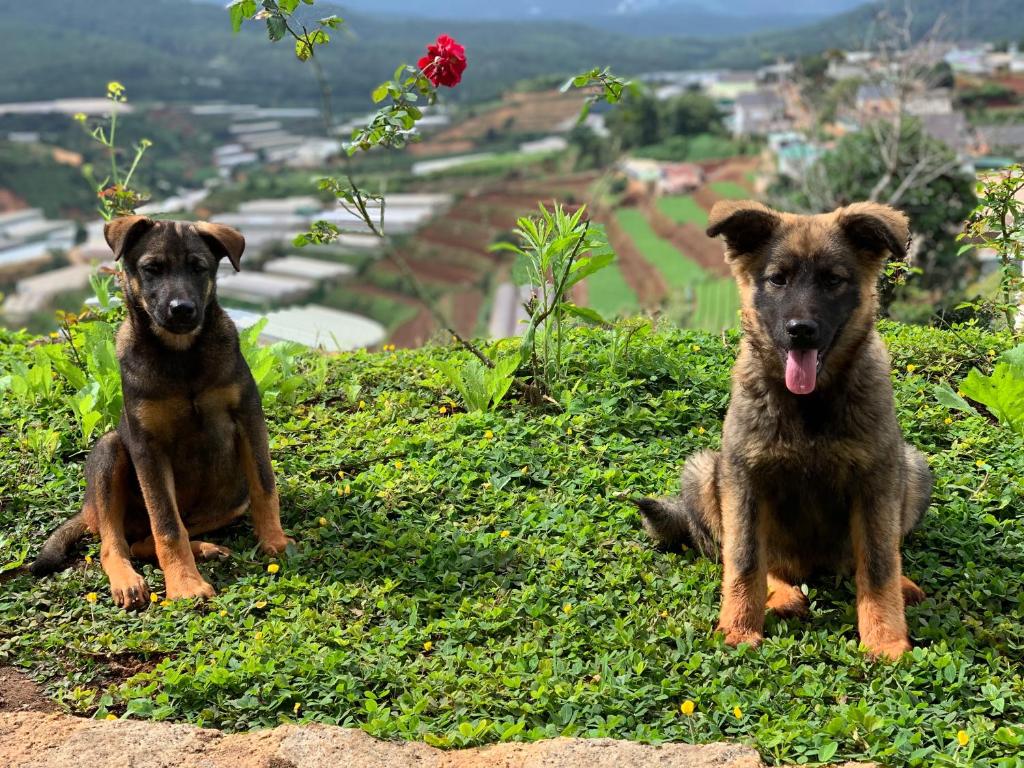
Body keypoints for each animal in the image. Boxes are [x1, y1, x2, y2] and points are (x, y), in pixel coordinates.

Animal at [29, 217, 292, 606]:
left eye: (199, 268)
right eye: (151, 269)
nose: (182, 309)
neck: (181, 356)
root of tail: (87, 511)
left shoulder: (249, 417)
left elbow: (265, 484)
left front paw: (275, 540)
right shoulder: (148, 448)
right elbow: (166, 524)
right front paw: (184, 584)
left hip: (229, 502)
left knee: (144, 540)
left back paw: (204, 548)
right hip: (109, 455)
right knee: (117, 543)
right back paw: (128, 580)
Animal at [634, 199, 933, 663]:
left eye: (832, 280)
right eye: (778, 279)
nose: (800, 331)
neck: (808, 404)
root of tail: (814, 566)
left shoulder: (877, 480)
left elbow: (880, 564)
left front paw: (885, 639)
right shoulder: (744, 479)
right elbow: (744, 561)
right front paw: (738, 630)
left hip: (912, 468)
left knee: (867, 558)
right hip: (703, 474)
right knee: (752, 558)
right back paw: (781, 594)